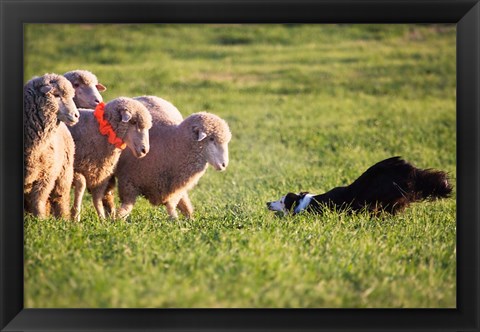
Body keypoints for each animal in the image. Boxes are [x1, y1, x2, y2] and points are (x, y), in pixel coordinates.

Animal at [23, 73, 79, 218]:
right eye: (57, 95)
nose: (77, 115)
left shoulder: (46, 176)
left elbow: (39, 200)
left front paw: (40, 220)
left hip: (64, 173)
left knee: (60, 197)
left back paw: (63, 219)